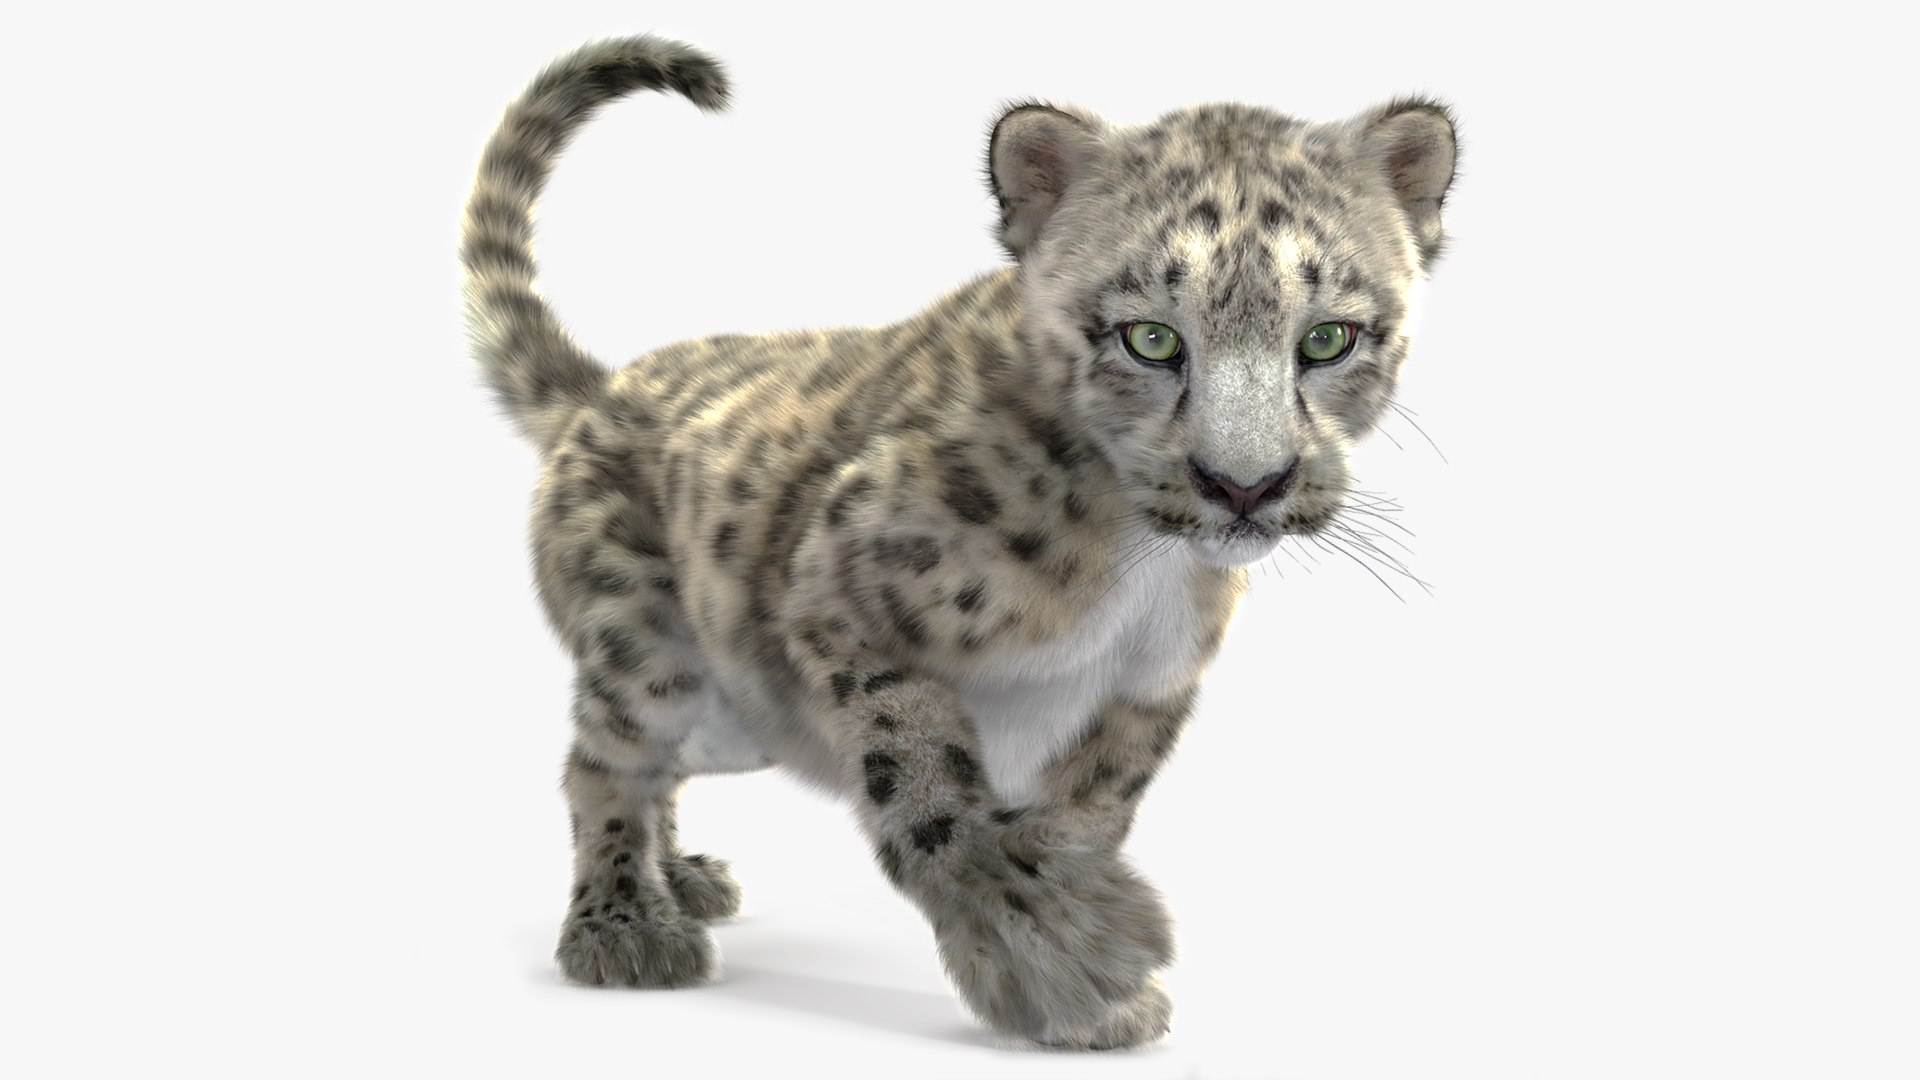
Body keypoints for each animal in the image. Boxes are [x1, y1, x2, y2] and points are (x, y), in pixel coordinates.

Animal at [459, 34, 1458, 1050]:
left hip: (733, 722)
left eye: (1329, 338)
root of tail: (602, 391)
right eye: (1149, 338)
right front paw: (1060, 957)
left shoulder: (1146, 691)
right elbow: (926, 780)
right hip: (650, 652)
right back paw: (627, 927)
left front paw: (1080, 964)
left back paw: (687, 880)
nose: (1245, 486)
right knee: (605, 764)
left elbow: (1089, 810)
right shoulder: (836, 593)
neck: (1145, 572)